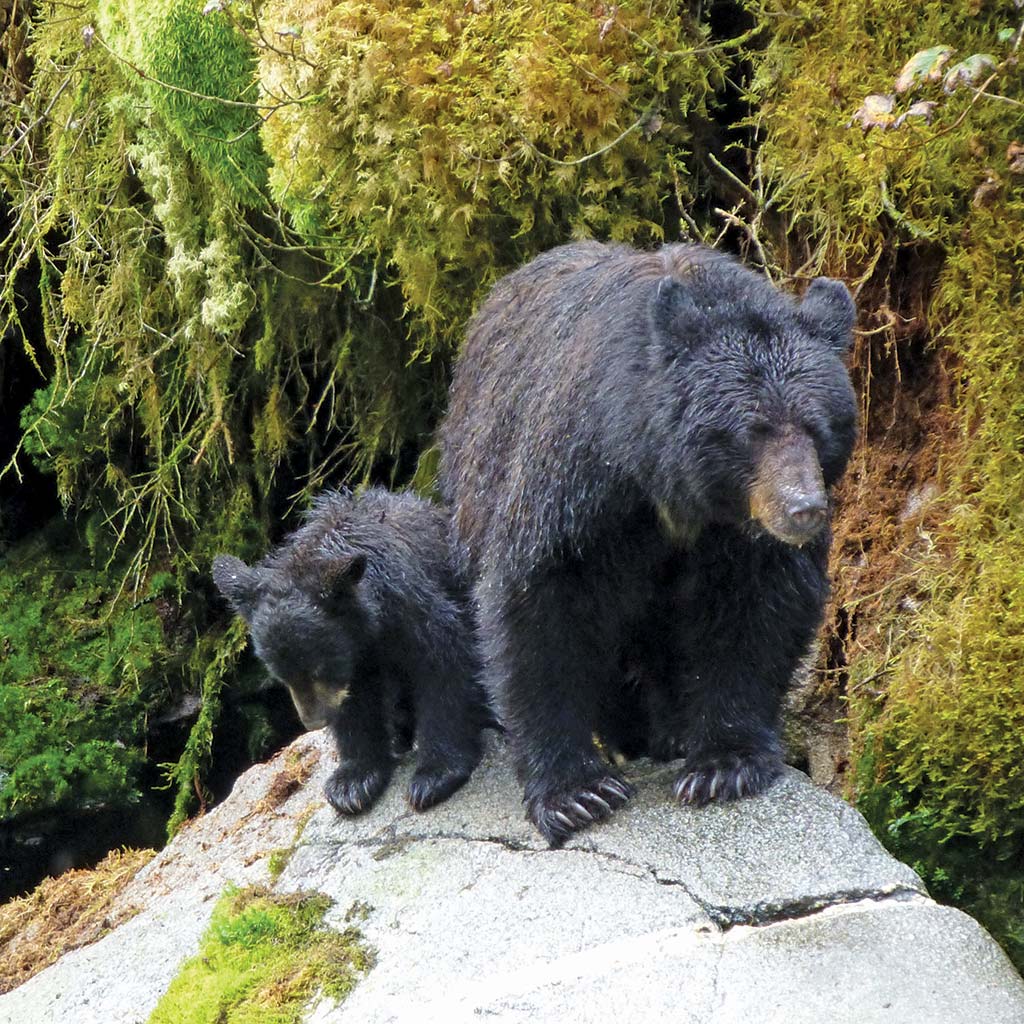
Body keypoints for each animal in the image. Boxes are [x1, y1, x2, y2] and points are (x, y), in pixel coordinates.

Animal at [210, 487, 483, 815]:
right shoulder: (355, 664)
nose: (315, 721)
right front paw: (352, 783)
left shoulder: (410, 608)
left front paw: (433, 776)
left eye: (318, 668)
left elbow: (442, 663)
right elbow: (354, 706)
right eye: (282, 677)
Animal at [438, 241, 856, 847]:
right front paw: (576, 793)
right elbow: (539, 603)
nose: (803, 509)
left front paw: (723, 764)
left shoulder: (741, 538)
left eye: (818, 427)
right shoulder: (577, 482)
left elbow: (756, 611)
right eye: (753, 430)